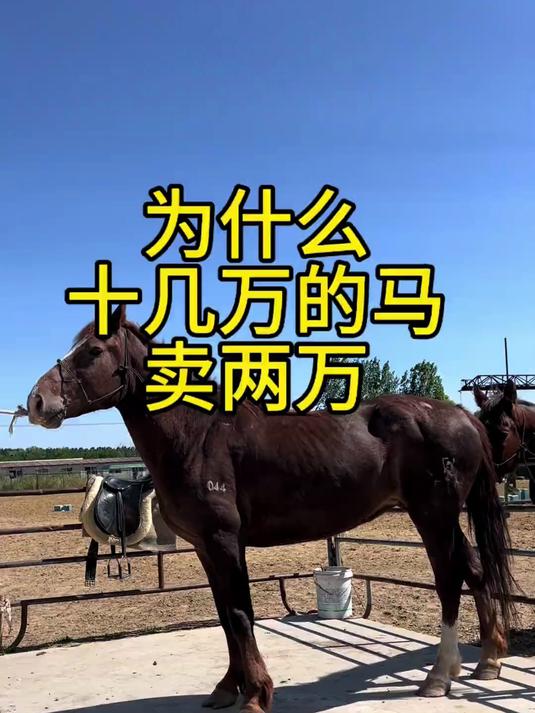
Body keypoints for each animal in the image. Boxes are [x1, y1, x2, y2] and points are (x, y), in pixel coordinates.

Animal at [27, 305, 515, 711]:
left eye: (93, 350)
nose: (36, 401)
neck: (198, 434)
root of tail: (462, 416)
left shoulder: (226, 542)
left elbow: (241, 614)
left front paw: (256, 695)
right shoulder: (207, 548)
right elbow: (225, 616)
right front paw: (228, 688)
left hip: (432, 515)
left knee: (450, 579)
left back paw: (439, 676)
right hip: (445, 517)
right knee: (475, 570)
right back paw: (487, 661)